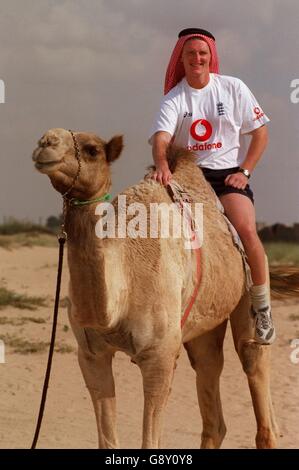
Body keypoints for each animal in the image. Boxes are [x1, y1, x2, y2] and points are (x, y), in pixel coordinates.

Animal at [32, 127, 282, 448]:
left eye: (92, 150)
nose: (46, 143)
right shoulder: (90, 354)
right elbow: (108, 439)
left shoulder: (159, 356)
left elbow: (149, 441)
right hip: (203, 320)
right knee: (209, 370)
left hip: (247, 282)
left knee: (252, 355)